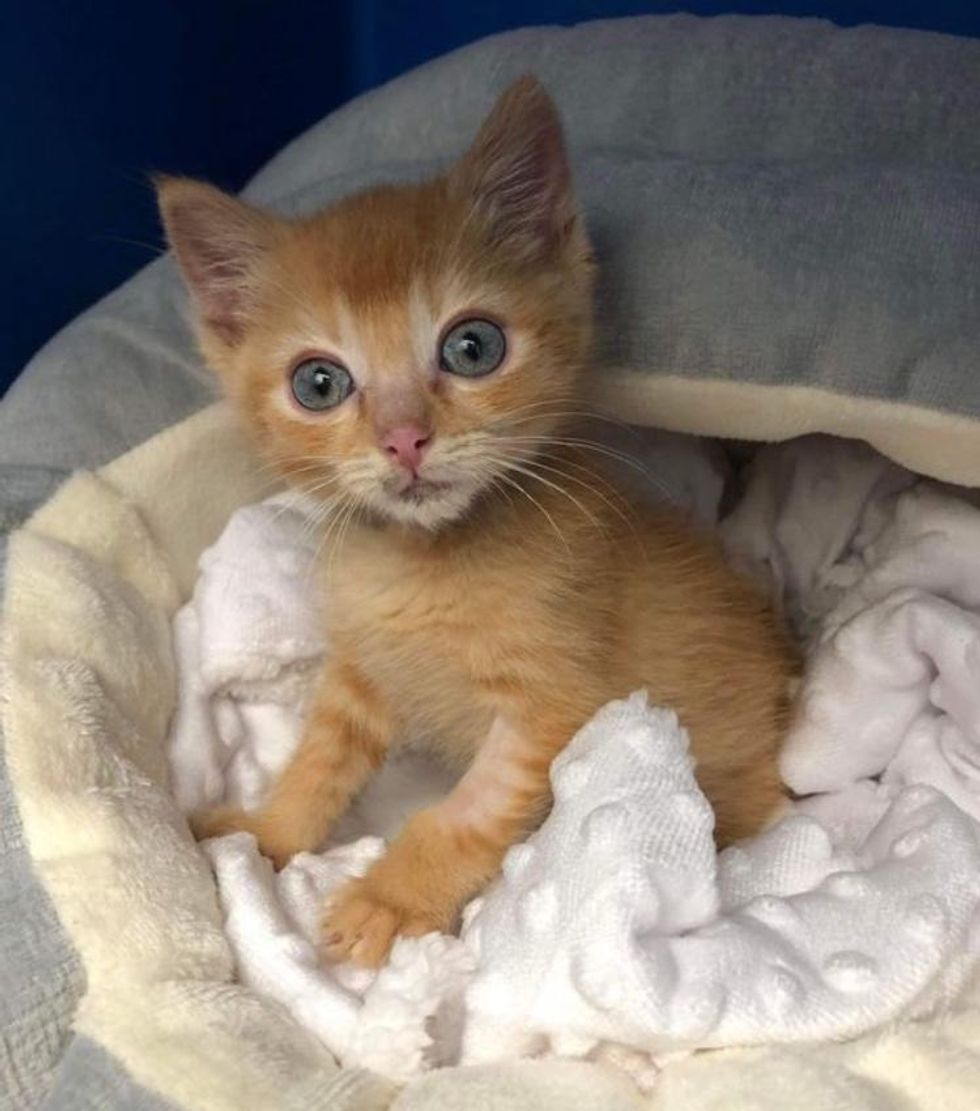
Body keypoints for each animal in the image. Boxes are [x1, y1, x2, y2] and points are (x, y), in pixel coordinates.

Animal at [158, 78, 795, 968]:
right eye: (318, 383)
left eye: (472, 347)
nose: (404, 437)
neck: (425, 560)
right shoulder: (360, 671)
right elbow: (317, 761)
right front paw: (267, 834)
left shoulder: (550, 703)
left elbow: (464, 816)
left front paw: (389, 899)